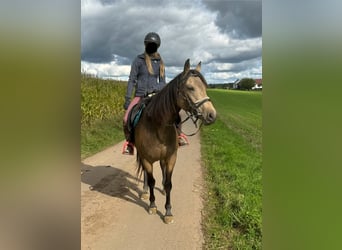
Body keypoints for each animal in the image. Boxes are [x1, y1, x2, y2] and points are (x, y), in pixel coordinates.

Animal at [134, 59, 216, 225]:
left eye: (205, 87)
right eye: (190, 87)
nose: (212, 115)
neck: (157, 126)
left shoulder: (171, 158)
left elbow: (169, 183)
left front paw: (168, 212)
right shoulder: (147, 159)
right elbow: (151, 181)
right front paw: (152, 205)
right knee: (146, 174)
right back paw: (145, 191)